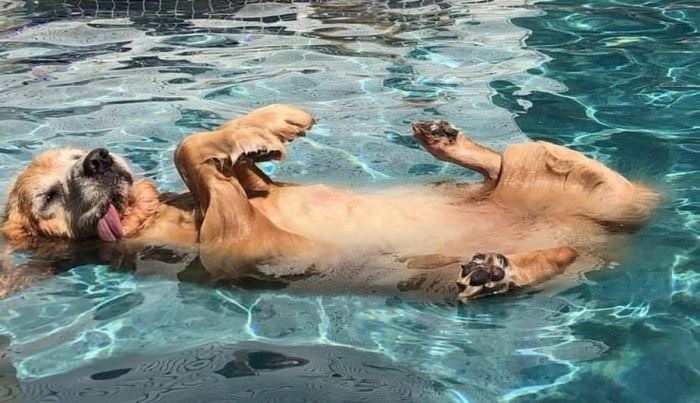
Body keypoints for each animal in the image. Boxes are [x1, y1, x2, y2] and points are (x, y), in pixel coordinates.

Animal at [0, 105, 660, 302]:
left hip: (562, 185)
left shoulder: (246, 201)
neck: (153, 218)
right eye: (49, 196)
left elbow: (226, 164)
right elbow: (188, 147)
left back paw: (450, 143)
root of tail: (600, 234)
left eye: (76, 152)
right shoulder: (236, 244)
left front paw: (261, 130)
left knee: (501, 169)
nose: (98, 159)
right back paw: (496, 269)